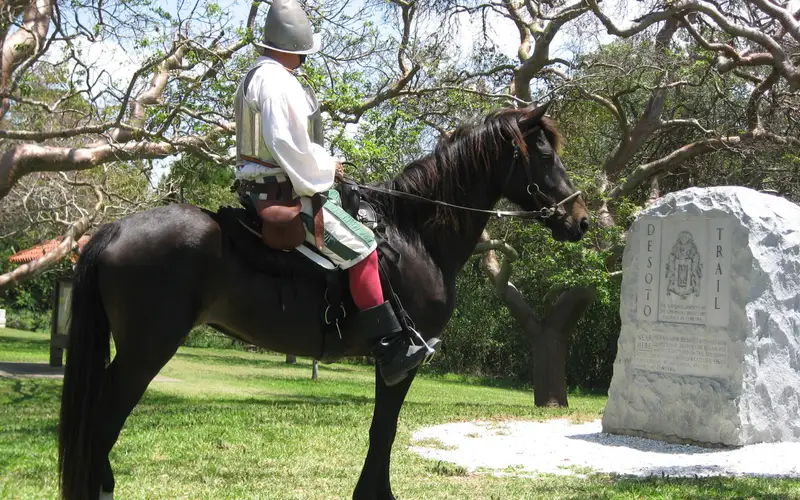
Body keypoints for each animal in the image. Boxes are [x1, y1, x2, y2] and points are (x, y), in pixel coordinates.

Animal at [57, 103, 590, 500]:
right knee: (101, 425)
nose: (581, 219)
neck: (416, 235)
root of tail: (114, 229)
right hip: (145, 352)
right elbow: (384, 430)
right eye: (544, 154)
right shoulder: (400, 361)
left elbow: (382, 430)